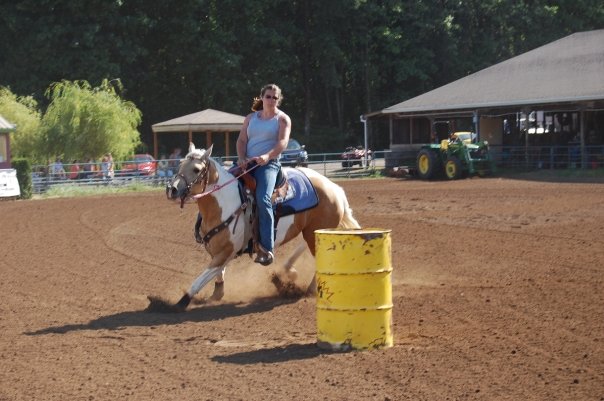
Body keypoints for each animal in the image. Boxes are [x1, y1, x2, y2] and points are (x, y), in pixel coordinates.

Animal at [163, 142, 360, 310]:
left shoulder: (226, 251)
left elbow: (201, 279)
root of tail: (334, 188)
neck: (225, 203)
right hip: (312, 231)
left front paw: (181, 302)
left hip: (314, 232)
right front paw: (216, 295)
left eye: (196, 169)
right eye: (179, 165)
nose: (172, 190)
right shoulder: (219, 252)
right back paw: (287, 271)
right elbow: (218, 273)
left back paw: (308, 289)